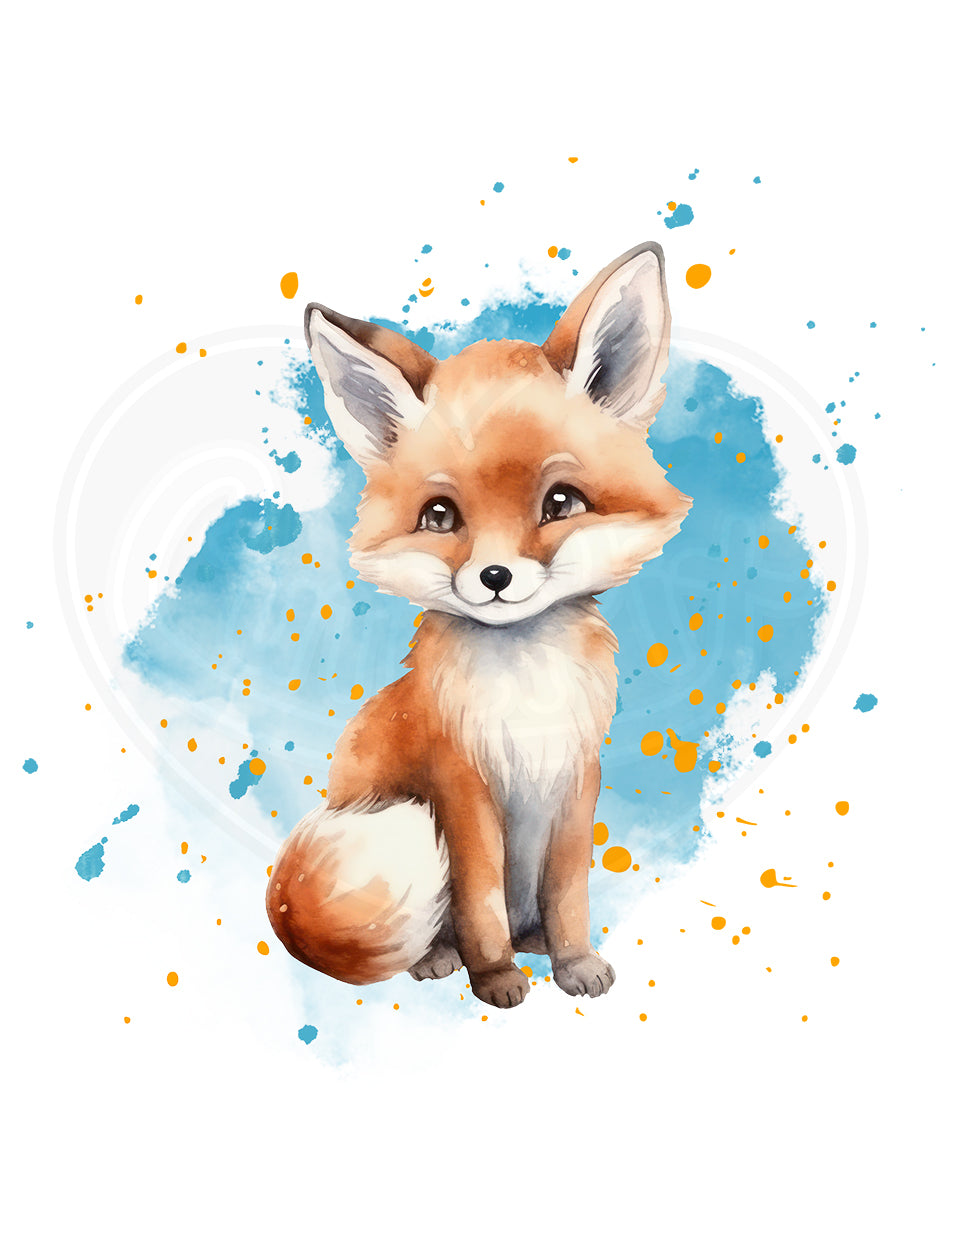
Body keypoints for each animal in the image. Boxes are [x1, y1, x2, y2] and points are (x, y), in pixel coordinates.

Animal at [266, 242, 692, 1009]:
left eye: (561, 502)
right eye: (440, 516)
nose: (495, 578)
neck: (526, 696)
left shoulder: (576, 779)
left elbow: (569, 895)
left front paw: (574, 962)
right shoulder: (461, 788)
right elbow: (481, 901)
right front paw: (494, 977)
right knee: (442, 929)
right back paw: (444, 958)